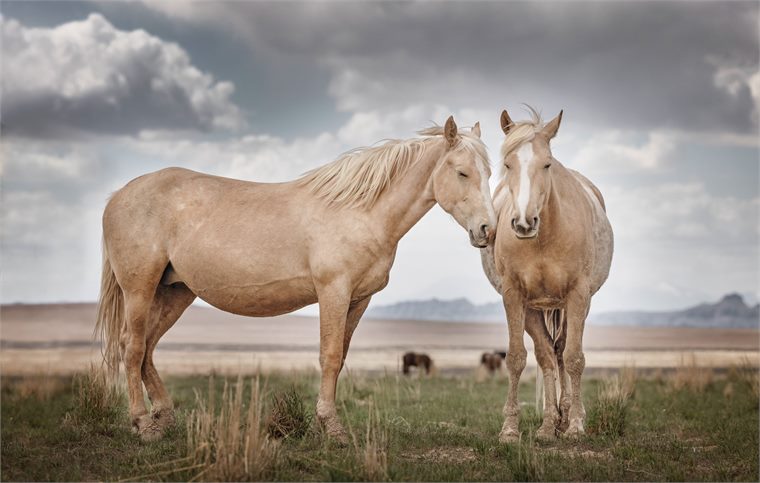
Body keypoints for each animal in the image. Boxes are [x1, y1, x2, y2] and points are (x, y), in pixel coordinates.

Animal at [95, 116, 496, 442]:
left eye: (489, 174)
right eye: (462, 172)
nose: (487, 230)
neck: (361, 212)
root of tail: (119, 195)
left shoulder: (359, 299)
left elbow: (341, 356)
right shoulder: (334, 291)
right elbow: (330, 356)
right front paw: (331, 427)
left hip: (175, 291)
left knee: (147, 348)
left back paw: (164, 418)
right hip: (140, 289)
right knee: (132, 347)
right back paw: (143, 424)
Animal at [480, 107, 613, 442]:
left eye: (547, 163)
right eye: (508, 164)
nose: (524, 222)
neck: (543, 238)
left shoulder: (577, 295)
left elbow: (575, 358)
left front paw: (576, 425)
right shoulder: (513, 295)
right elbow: (516, 358)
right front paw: (510, 429)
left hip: (570, 306)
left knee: (562, 351)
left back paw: (564, 416)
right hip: (534, 308)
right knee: (547, 355)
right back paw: (549, 423)